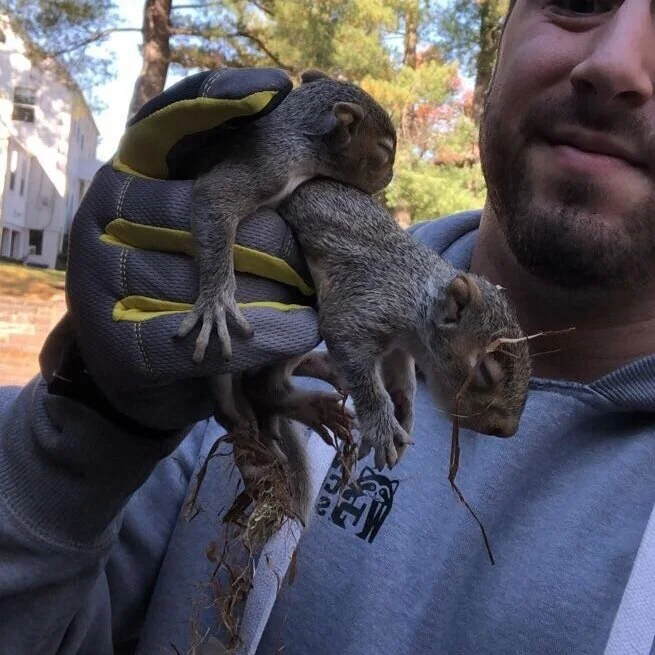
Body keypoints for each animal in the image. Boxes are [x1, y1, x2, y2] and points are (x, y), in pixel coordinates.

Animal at [177, 69, 396, 363]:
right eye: (385, 149)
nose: (391, 176)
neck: (301, 134)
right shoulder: (271, 163)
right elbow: (214, 194)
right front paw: (216, 303)